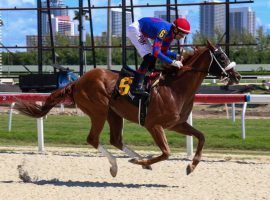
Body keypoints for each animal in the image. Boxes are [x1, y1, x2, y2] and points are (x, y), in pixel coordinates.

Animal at [14, 40, 240, 177]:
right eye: (221, 57)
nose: (237, 76)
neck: (175, 87)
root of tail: (77, 81)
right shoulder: (154, 125)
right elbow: (166, 152)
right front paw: (142, 162)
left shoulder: (177, 123)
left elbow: (201, 136)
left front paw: (191, 165)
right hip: (99, 111)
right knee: (93, 139)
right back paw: (117, 165)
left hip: (114, 113)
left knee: (116, 139)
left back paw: (138, 159)